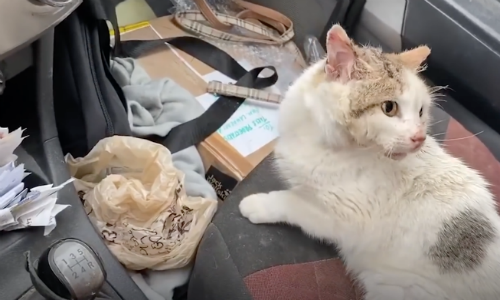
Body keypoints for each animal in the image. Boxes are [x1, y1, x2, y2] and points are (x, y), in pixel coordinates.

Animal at [237, 24, 500, 300]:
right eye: (389, 108)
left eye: (420, 111)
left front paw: (258, 204)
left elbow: (291, 201)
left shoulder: (342, 214)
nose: (419, 137)